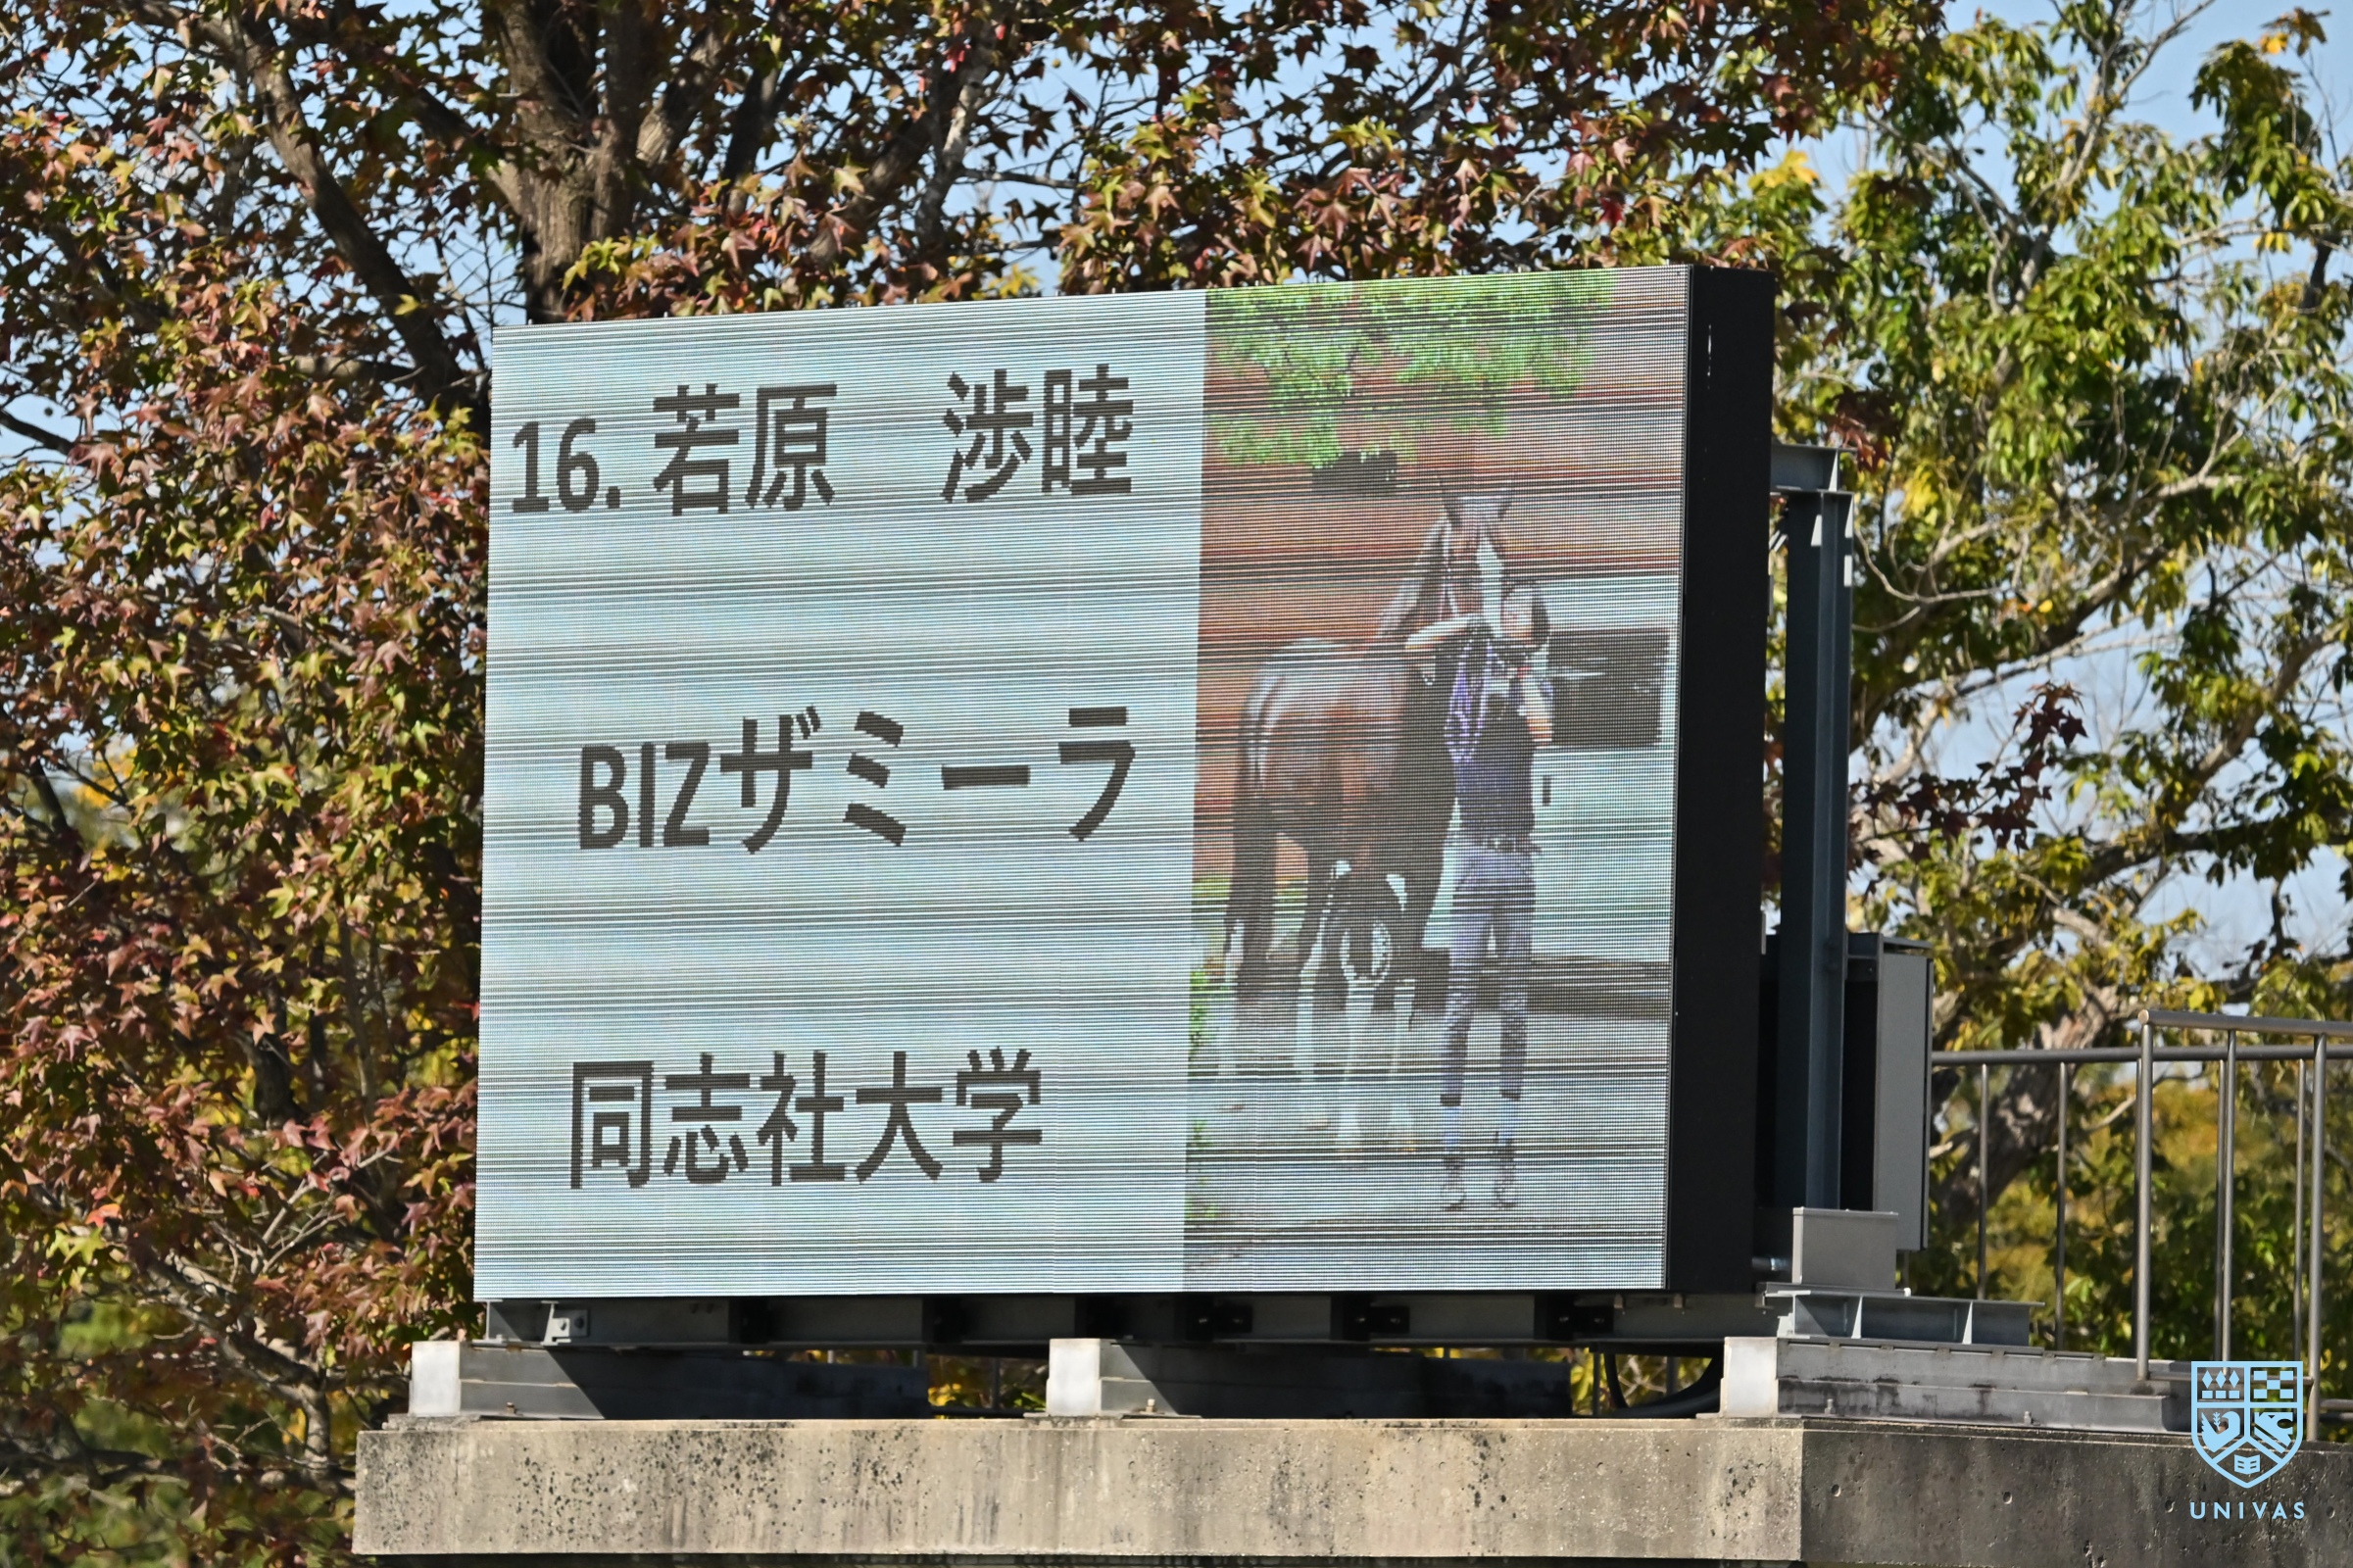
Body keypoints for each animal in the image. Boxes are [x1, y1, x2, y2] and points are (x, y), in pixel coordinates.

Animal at [1222, 489, 1514, 1007]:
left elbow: (1403, 963)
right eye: (1462, 566)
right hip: (1256, 826)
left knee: (1309, 921)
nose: (1500, 683)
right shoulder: (1367, 860)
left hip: (1319, 846)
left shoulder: (1425, 865)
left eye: (1509, 566)